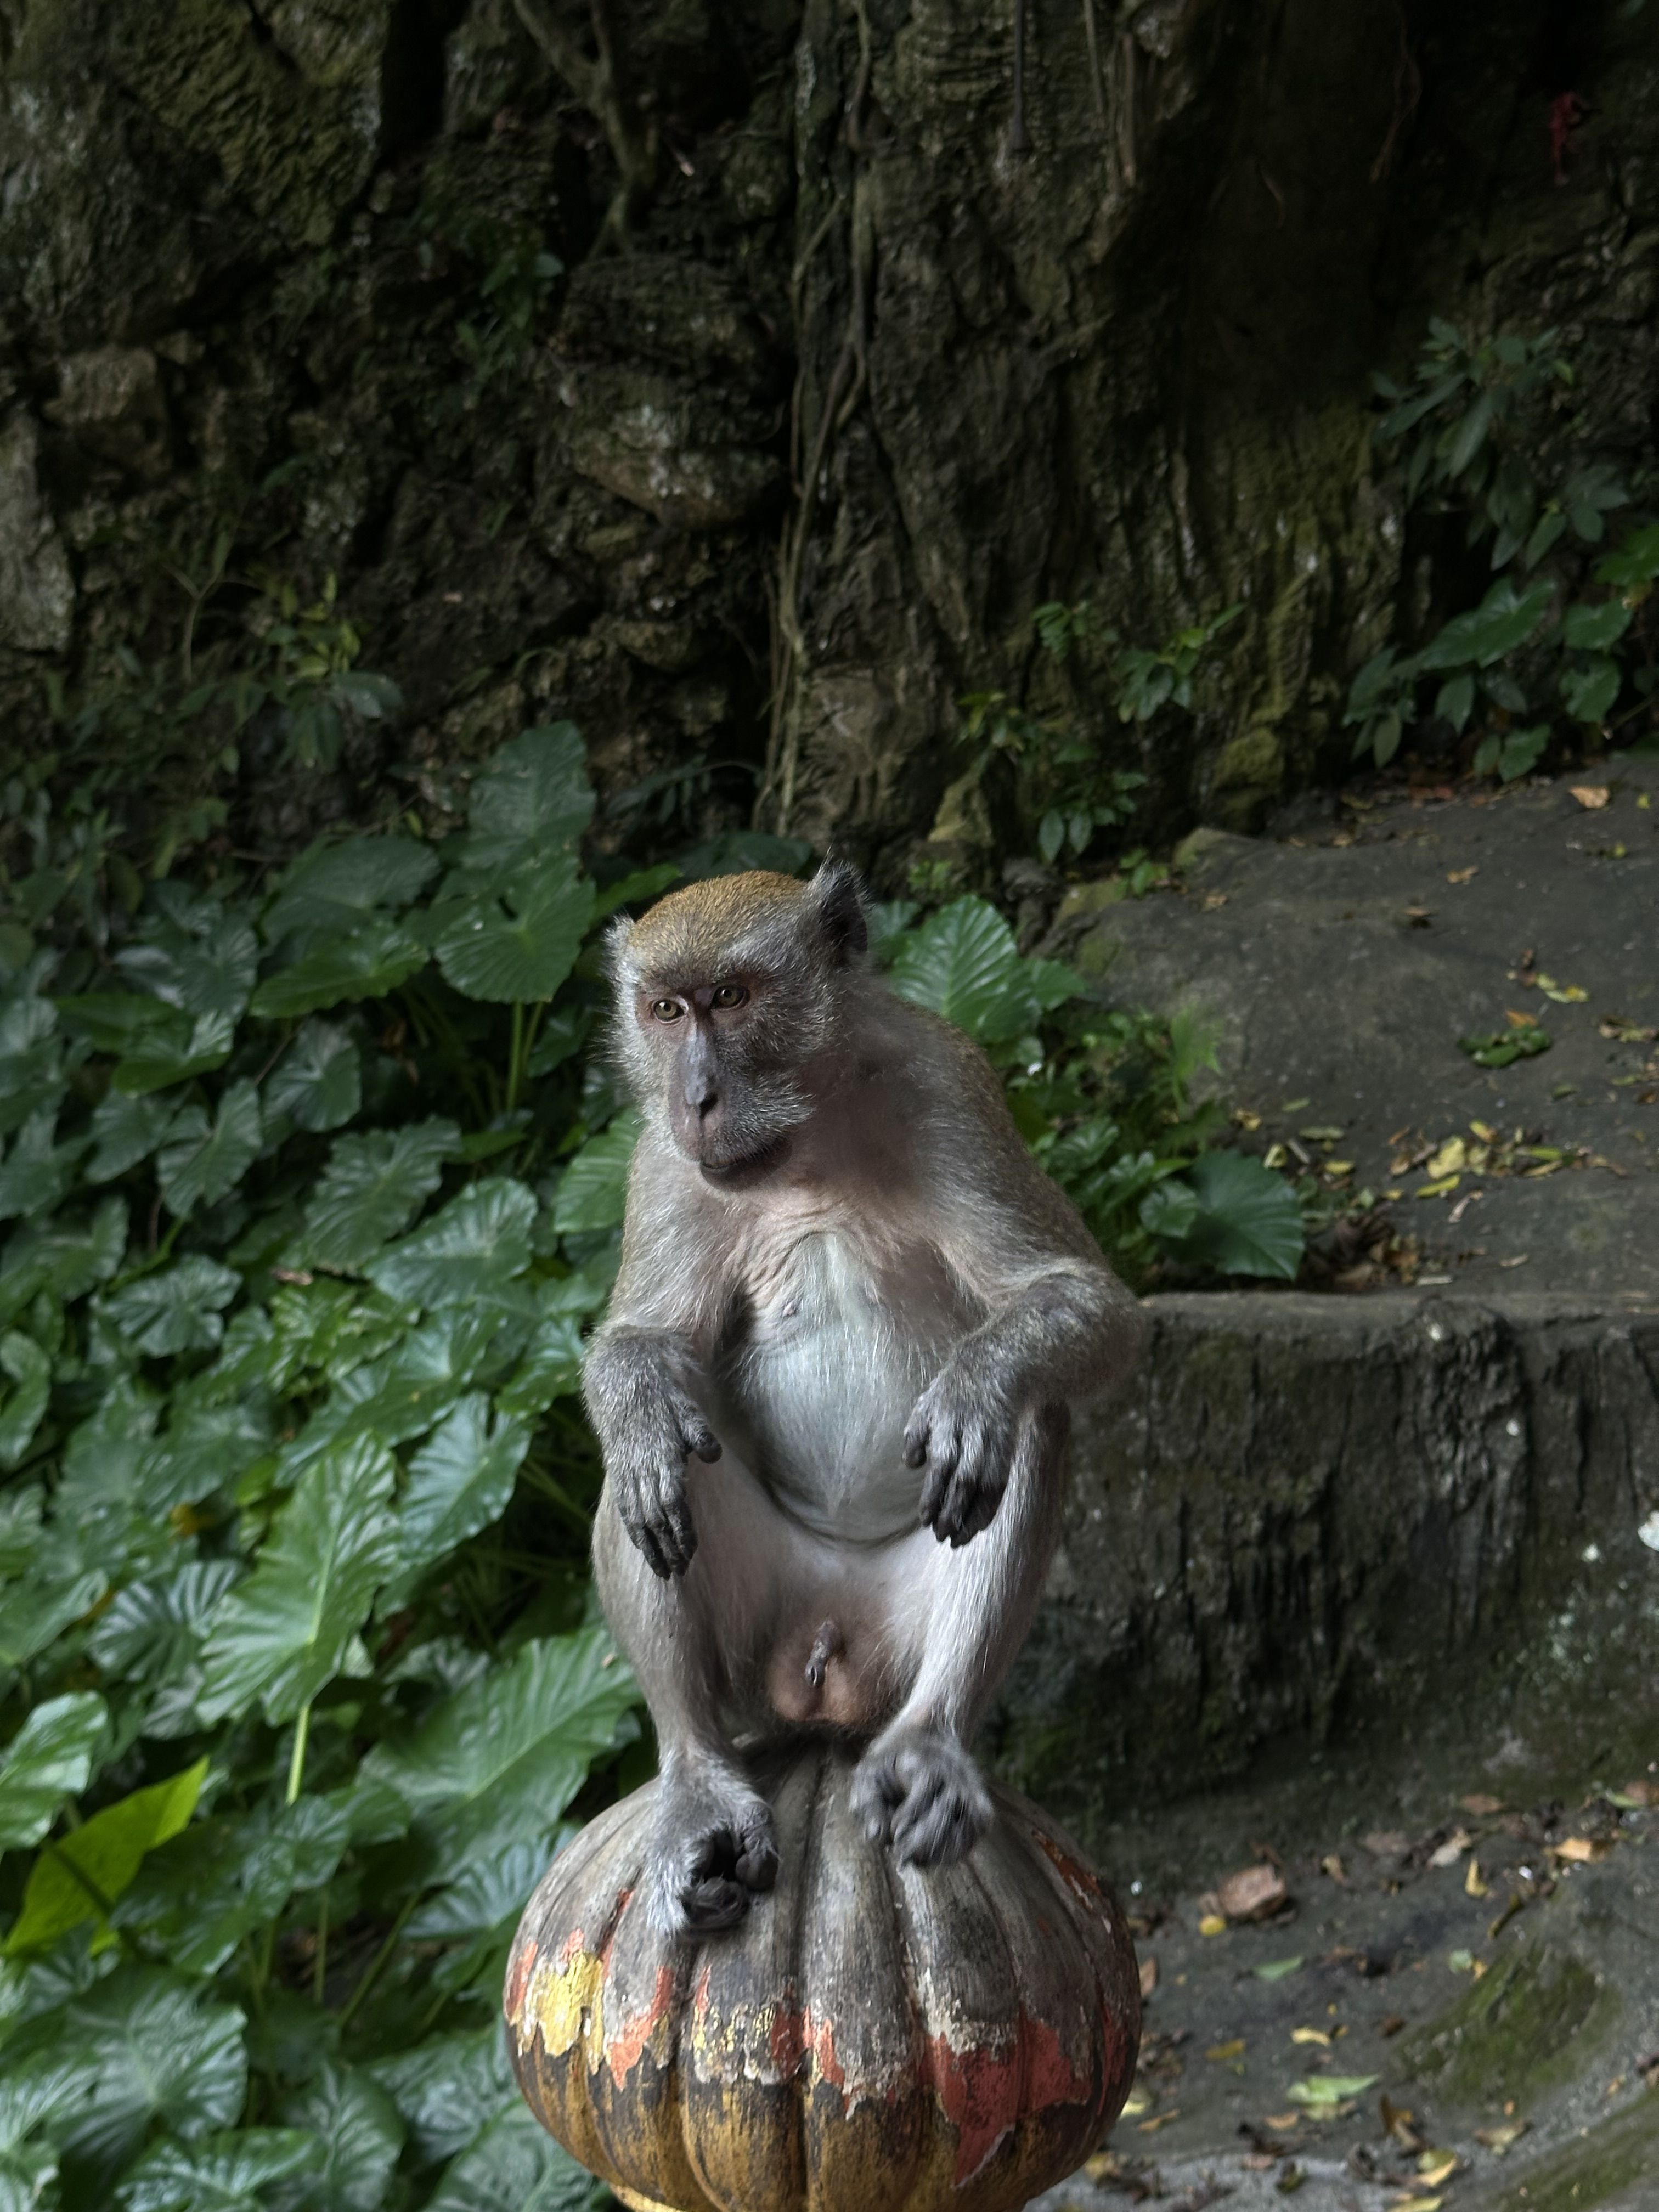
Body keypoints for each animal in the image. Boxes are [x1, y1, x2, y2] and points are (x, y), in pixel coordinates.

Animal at [592, 854, 1150, 1928]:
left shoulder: (952, 1088)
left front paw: (978, 1385)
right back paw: (696, 1774)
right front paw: (639, 1403)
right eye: (665, 1009)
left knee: (1030, 1427)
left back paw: (930, 1745)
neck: (806, 1138)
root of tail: (826, 1662)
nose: (697, 1097)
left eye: (732, 999)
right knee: (660, 1473)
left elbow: (1083, 1306)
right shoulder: (660, 1160)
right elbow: (639, 1347)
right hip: (758, 1627)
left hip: (893, 1640)